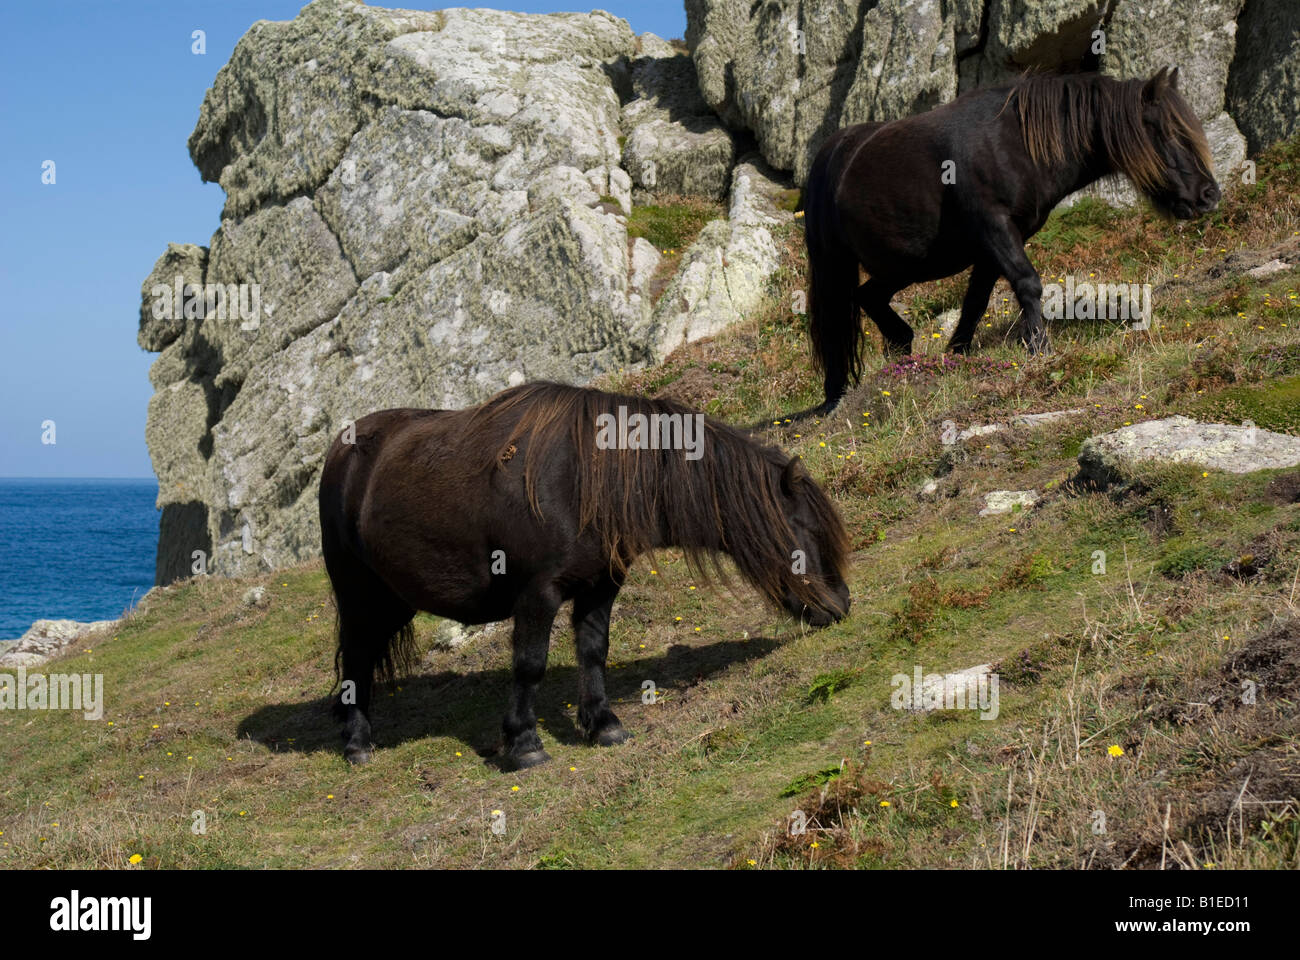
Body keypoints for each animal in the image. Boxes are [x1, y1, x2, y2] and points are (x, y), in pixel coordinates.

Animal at [319, 377, 852, 764]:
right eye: (808, 531)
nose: (842, 604)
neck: (582, 480)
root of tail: (344, 449)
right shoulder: (538, 594)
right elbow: (529, 664)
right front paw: (524, 744)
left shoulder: (600, 586)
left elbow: (594, 651)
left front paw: (604, 724)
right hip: (359, 593)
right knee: (356, 655)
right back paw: (357, 742)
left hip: (393, 600)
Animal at [800, 67, 1216, 411]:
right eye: (1166, 132)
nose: (1209, 195)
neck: (1014, 144)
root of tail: (834, 153)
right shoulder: (996, 228)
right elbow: (1027, 283)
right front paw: (1041, 350)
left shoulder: (991, 247)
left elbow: (975, 303)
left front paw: (957, 358)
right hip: (848, 264)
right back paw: (839, 393)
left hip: (908, 265)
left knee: (869, 296)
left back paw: (902, 352)